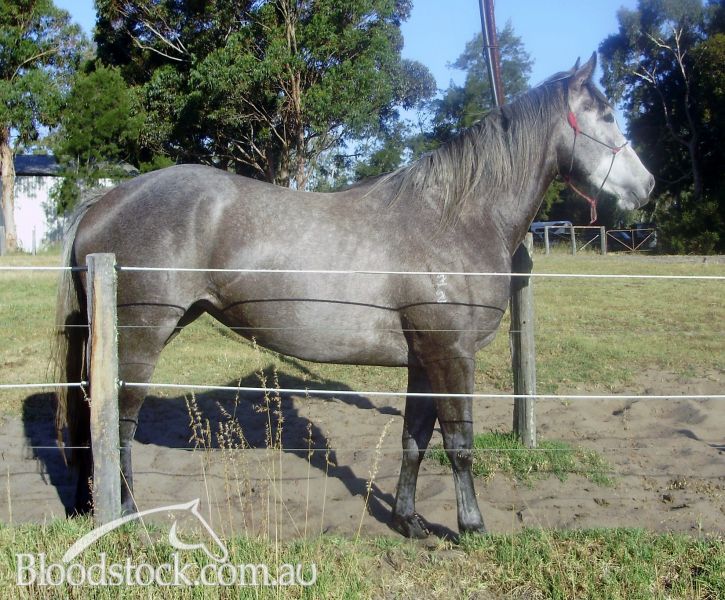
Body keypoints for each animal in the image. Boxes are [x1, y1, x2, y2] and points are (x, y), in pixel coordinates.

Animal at [52, 53, 653, 538]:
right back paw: (129, 516)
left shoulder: (423, 359)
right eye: (606, 115)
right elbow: (459, 443)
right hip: (141, 337)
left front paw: (409, 521)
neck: (454, 216)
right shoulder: (452, 355)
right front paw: (472, 527)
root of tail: (105, 200)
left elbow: (415, 437)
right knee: (115, 423)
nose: (647, 186)